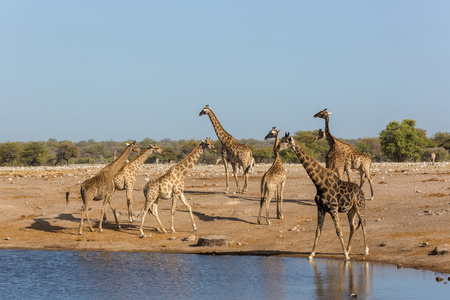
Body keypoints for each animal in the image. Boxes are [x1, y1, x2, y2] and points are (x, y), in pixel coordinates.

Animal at [278, 132, 370, 262]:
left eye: (286, 141)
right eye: (281, 140)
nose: (277, 147)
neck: (319, 183)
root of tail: (361, 191)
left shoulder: (333, 208)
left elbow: (338, 230)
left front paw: (345, 256)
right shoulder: (320, 208)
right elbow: (318, 231)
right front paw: (311, 254)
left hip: (360, 206)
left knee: (363, 224)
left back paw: (365, 250)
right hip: (350, 210)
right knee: (352, 226)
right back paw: (348, 249)